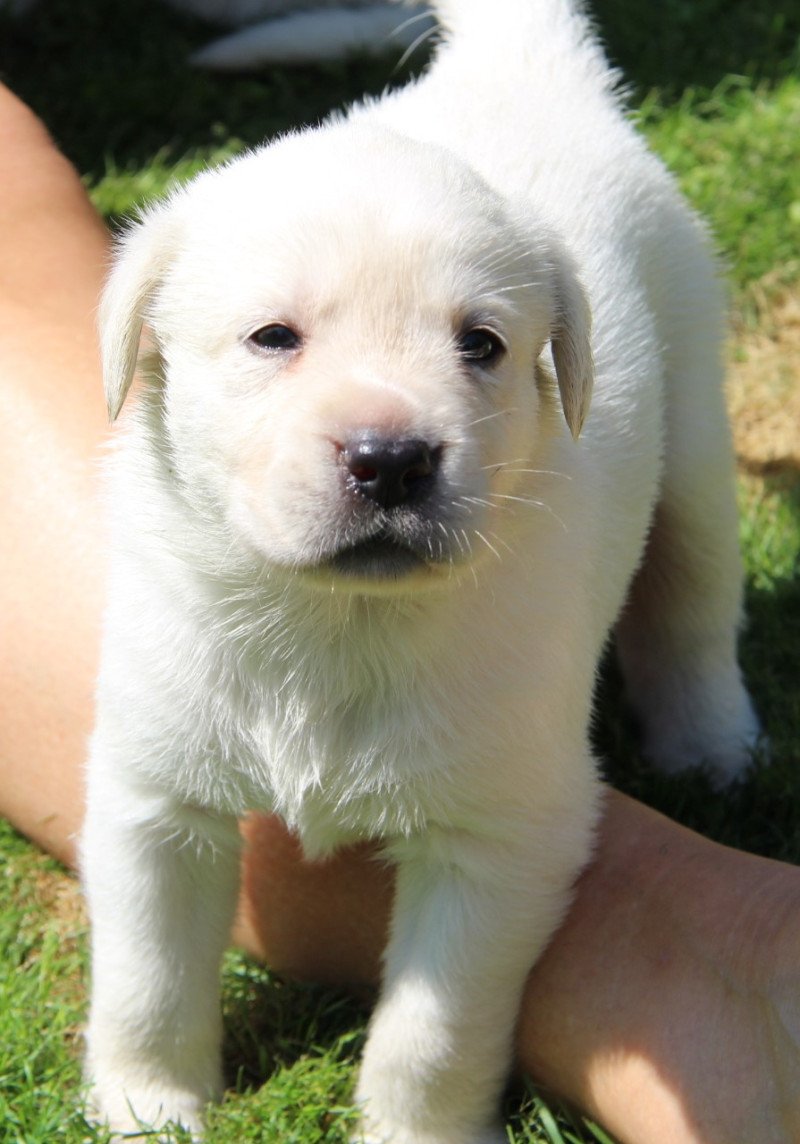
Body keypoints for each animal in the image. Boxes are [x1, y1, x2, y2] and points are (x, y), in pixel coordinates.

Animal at [82, 0, 764, 1139]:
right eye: (273, 337)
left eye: (480, 344)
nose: (391, 459)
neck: (332, 623)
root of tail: (524, 66)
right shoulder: (153, 795)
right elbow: (147, 972)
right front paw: (146, 1103)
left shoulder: (498, 838)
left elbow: (431, 1032)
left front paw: (414, 1127)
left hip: (698, 442)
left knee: (692, 612)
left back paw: (710, 746)